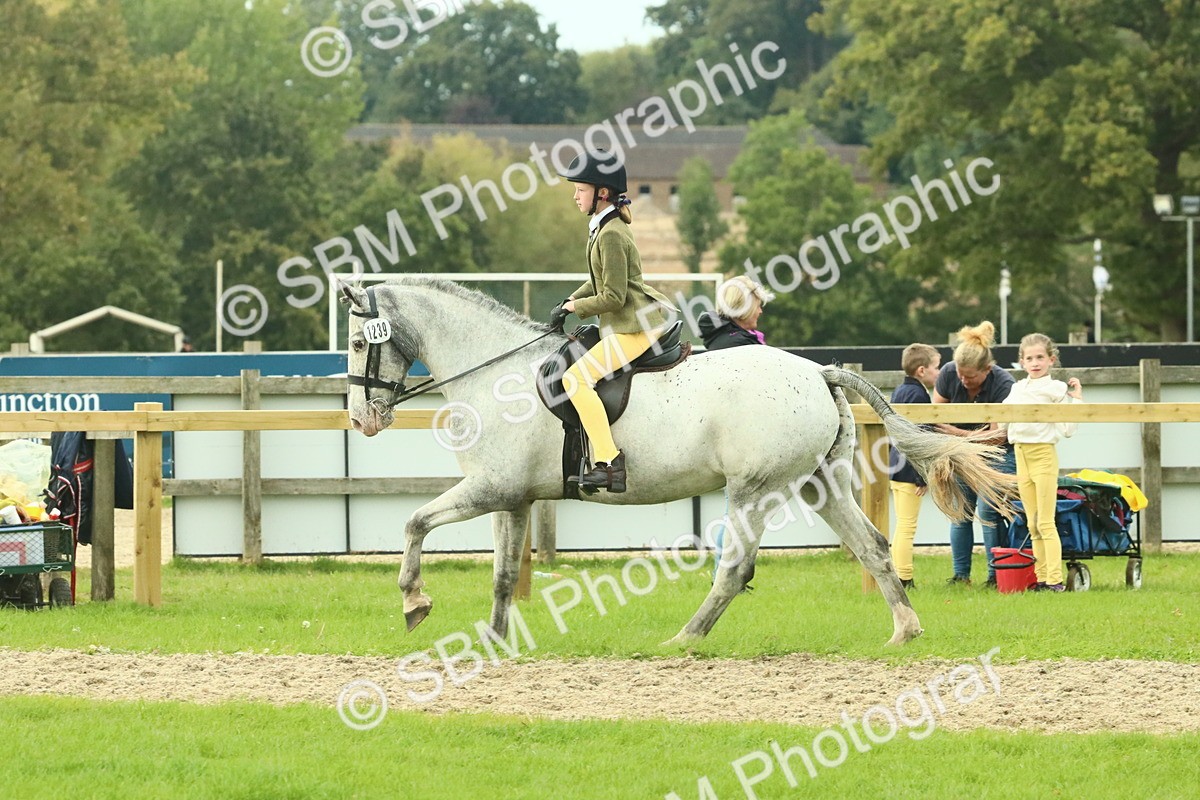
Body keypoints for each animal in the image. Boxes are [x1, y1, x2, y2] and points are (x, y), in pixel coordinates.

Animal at [341, 277, 1013, 647]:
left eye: (354, 341)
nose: (362, 421)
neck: (495, 372)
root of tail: (818, 371)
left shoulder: (486, 488)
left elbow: (414, 523)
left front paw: (414, 602)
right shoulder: (512, 496)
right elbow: (504, 576)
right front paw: (493, 641)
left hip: (754, 491)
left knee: (735, 569)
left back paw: (685, 638)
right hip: (819, 484)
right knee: (873, 546)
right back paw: (905, 629)